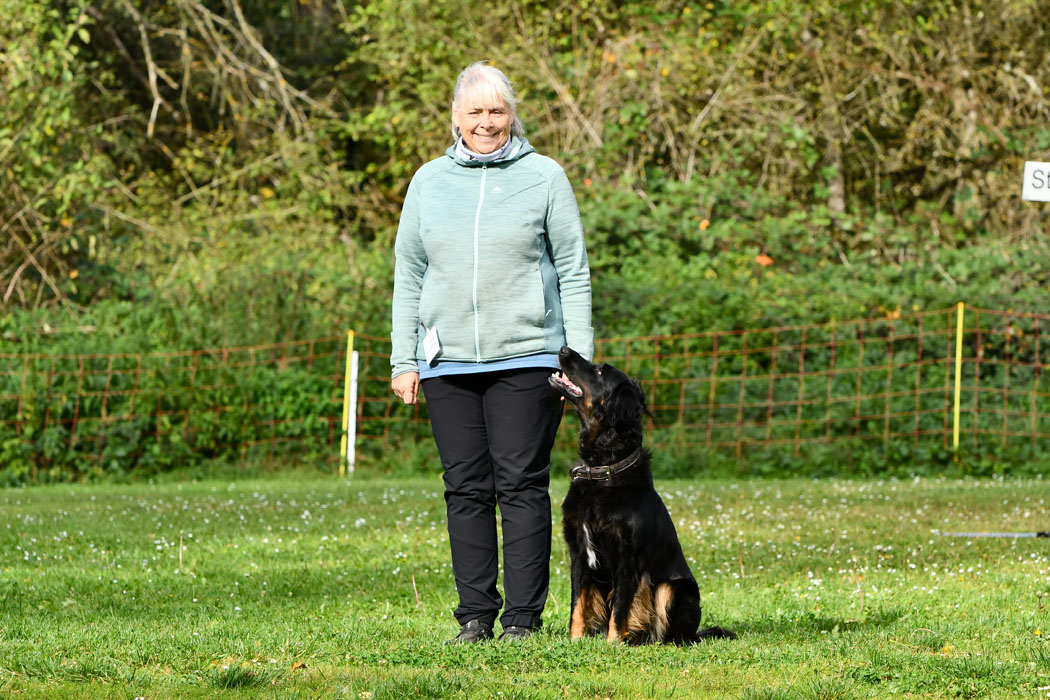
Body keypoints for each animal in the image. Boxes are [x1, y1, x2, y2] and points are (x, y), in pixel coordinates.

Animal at [546, 348, 734, 650]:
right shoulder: (579, 552)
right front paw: (574, 642)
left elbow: (620, 609)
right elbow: (577, 605)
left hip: (675, 587)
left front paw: (612, 645)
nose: (563, 349)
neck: (604, 468)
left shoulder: (628, 558)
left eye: (599, 370)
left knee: (672, 635)